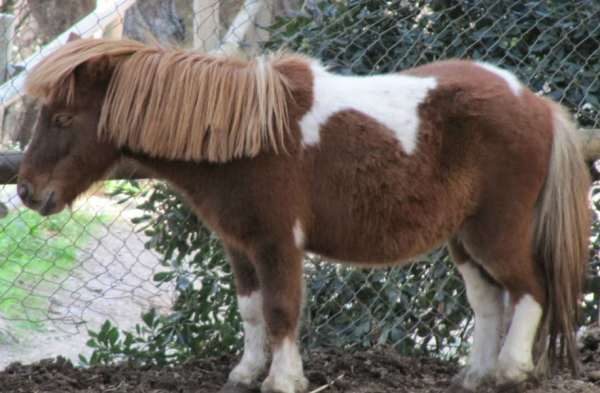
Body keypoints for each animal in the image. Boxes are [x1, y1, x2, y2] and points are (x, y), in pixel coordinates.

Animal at [16, 37, 588, 392]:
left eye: (63, 117)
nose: (25, 191)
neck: (246, 136)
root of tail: (537, 104)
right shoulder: (239, 245)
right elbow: (250, 310)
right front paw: (245, 373)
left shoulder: (277, 242)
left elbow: (281, 309)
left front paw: (283, 380)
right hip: (464, 239)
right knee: (490, 301)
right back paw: (474, 376)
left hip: (497, 231)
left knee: (531, 288)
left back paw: (510, 372)